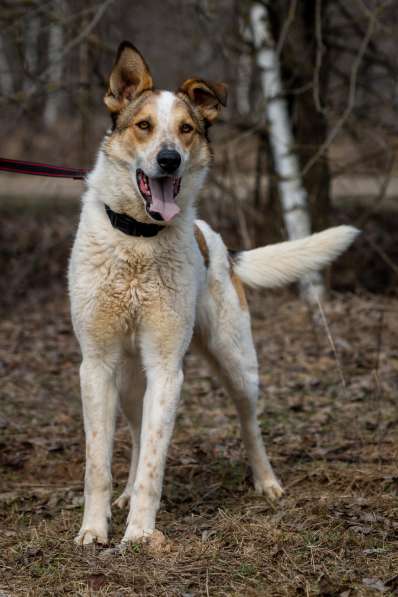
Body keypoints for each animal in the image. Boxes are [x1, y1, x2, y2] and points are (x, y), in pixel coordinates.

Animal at [69, 40, 360, 544]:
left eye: (186, 130)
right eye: (144, 126)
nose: (169, 159)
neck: (138, 241)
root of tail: (218, 241)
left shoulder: (168, 369)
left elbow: (154, 464)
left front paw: (140, 535)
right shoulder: (96, 366)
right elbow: (98, 464)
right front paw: (94, 529)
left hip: (236, 361)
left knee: (249, 424)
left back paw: (266, 482)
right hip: (128, 381)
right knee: (136, 430)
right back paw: (122, 497)